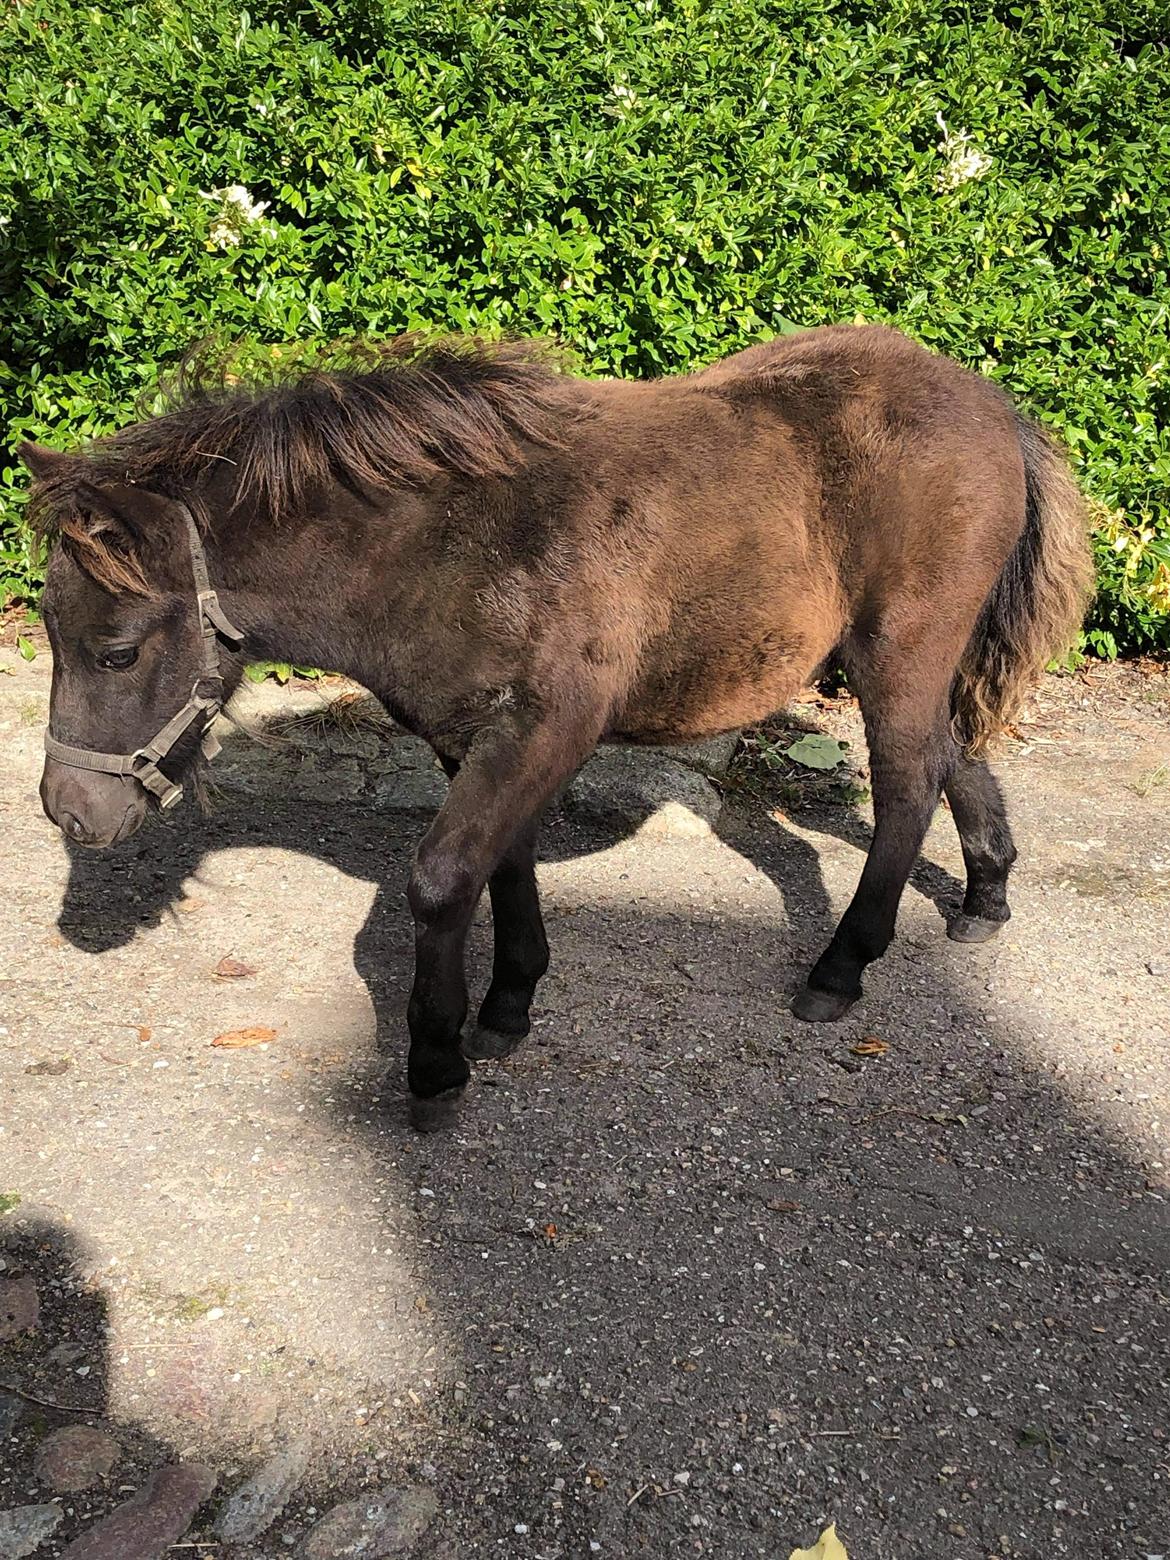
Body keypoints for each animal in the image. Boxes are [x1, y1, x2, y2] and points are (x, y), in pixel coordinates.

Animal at [22, 329, 1098, 1129]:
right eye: (51, 631)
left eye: (115, 651)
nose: (70, 812)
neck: (450, 545)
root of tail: (992, 404)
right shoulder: (476, 736)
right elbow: (503, 866)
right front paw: (509, 1006)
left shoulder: (551, 727)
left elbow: (442, 878)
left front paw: (437, 1065)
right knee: (952, 753)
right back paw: (988, 891)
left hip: (898, 648)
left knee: (908, 783)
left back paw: (840, 969)